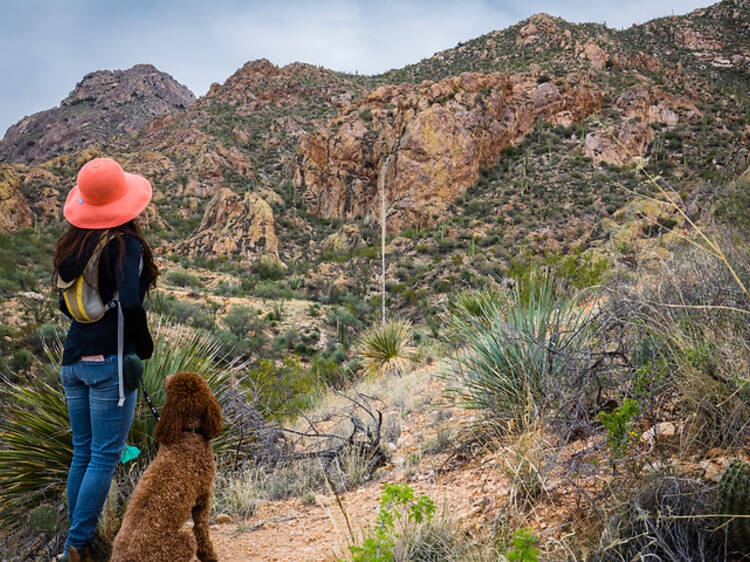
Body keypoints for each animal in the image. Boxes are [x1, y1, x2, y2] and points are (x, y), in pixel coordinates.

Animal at [108, 370, 222, 556]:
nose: (168, 376)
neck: (188, 434)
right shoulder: (203, 496)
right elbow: (202, 532)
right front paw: (209, 556)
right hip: (183, 542)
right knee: (190, 540)